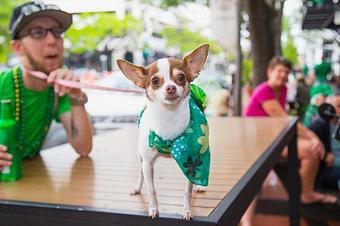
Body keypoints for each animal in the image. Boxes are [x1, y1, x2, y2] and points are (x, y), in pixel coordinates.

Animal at [117, 44, 210, 221]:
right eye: (154, 80)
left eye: (181, 77)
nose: (171, 87)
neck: (169, 116)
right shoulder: (148, 164)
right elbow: (152, 190)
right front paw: (153, 209)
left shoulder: (190, 160)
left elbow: (187, 191)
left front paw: (187, 210)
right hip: (140, 156)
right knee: (140, 173)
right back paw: (137, 188)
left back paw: (199, 187)